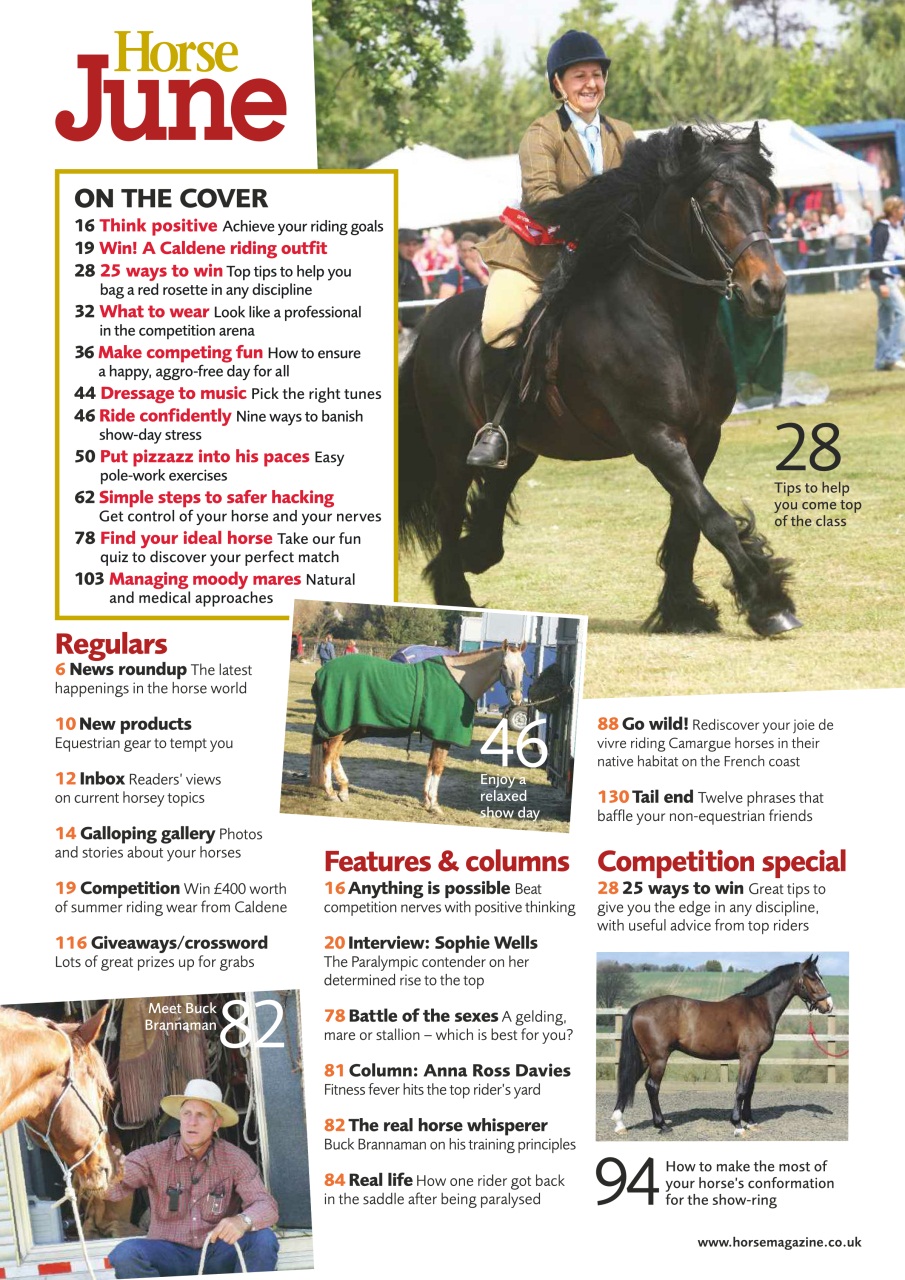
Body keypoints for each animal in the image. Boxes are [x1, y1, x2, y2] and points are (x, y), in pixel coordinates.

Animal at [310, 642, 526, 812]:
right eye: (504, 666)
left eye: (523, 666)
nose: (516, 698)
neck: (459, 681)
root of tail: (321, 672)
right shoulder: (443, 736)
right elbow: (438, 766)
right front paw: (435, 805)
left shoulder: (439, 736)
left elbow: (431, 765)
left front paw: (427, 801)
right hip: (342, 724)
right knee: (329, 754)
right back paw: (331, 792)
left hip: (350, 727)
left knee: (335, 753)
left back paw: (344, 791)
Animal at [399, 123, 802, 638]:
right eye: (713, 205)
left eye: (767, 200)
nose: (769, 291)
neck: (669, 320)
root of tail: (429, 326)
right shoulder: (654, 437)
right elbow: (714, 519)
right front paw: (769, 605)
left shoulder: (703, 436)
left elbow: (688, 524)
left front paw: (683, 610)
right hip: (452, 452)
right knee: (449, 516)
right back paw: (456, 595)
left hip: (518, 450)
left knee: (490, 514)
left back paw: (472, 559)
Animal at [611, 956, 833, 1136]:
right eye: (812, 977)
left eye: (820, 975)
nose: (828, 1005)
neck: (758, 1008)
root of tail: (640, 1006)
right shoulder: (748, 1056)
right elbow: (741, 1089)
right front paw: (737, 1125)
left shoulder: (756, 1057)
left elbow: (750, 1088)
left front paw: (750, 1122)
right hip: (658, 1058)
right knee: (652, 1086)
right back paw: (662, 1125)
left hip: (644, 1057)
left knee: (628, 1082)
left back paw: (620, 1123)